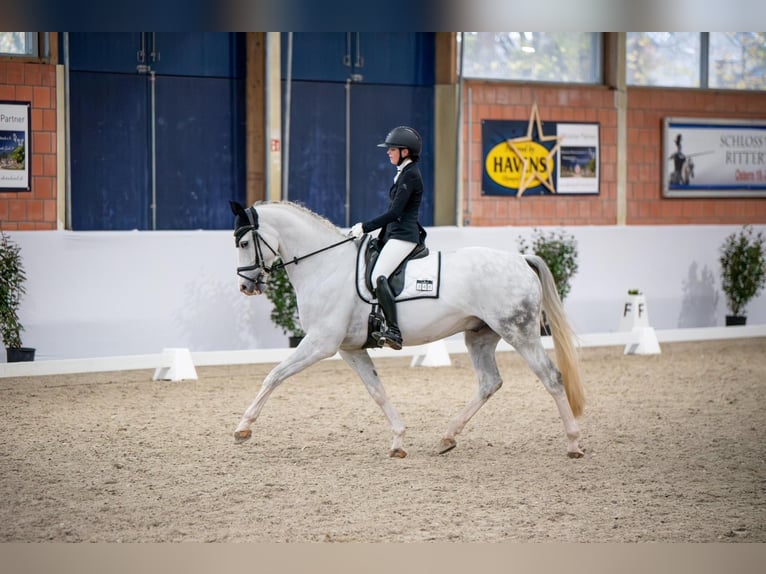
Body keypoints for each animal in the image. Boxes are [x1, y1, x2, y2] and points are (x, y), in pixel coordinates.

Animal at [229, 200, 586, 458]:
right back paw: (447, 437)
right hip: (480, 335)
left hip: (519, 332)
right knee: (489, 382)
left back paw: (573, 443)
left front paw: (243, 428)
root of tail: (521, 260)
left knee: (551, 377)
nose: (245, 286)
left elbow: (274, 375)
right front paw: (398, 441)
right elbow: (377, 391)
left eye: (244, 241)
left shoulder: (320, 343)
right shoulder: (350, 349)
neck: (327, 266)